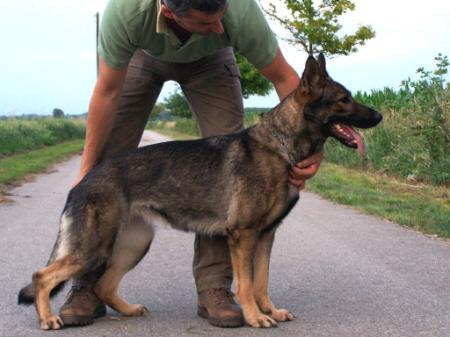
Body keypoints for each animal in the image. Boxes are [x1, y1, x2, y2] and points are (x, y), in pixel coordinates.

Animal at [18, 54, 384, 328]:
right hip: (94, 247)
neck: (281, 147)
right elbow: (246, 284)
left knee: (103, 284)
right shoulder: (243, 235)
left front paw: (270, 311)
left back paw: (129, 310)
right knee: (42, 276)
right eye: (344, 100)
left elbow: (262, 281)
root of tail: (83, 181)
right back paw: (48, 318)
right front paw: (254, 317)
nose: (380, 116)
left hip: (133, 244)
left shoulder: (266, 236)